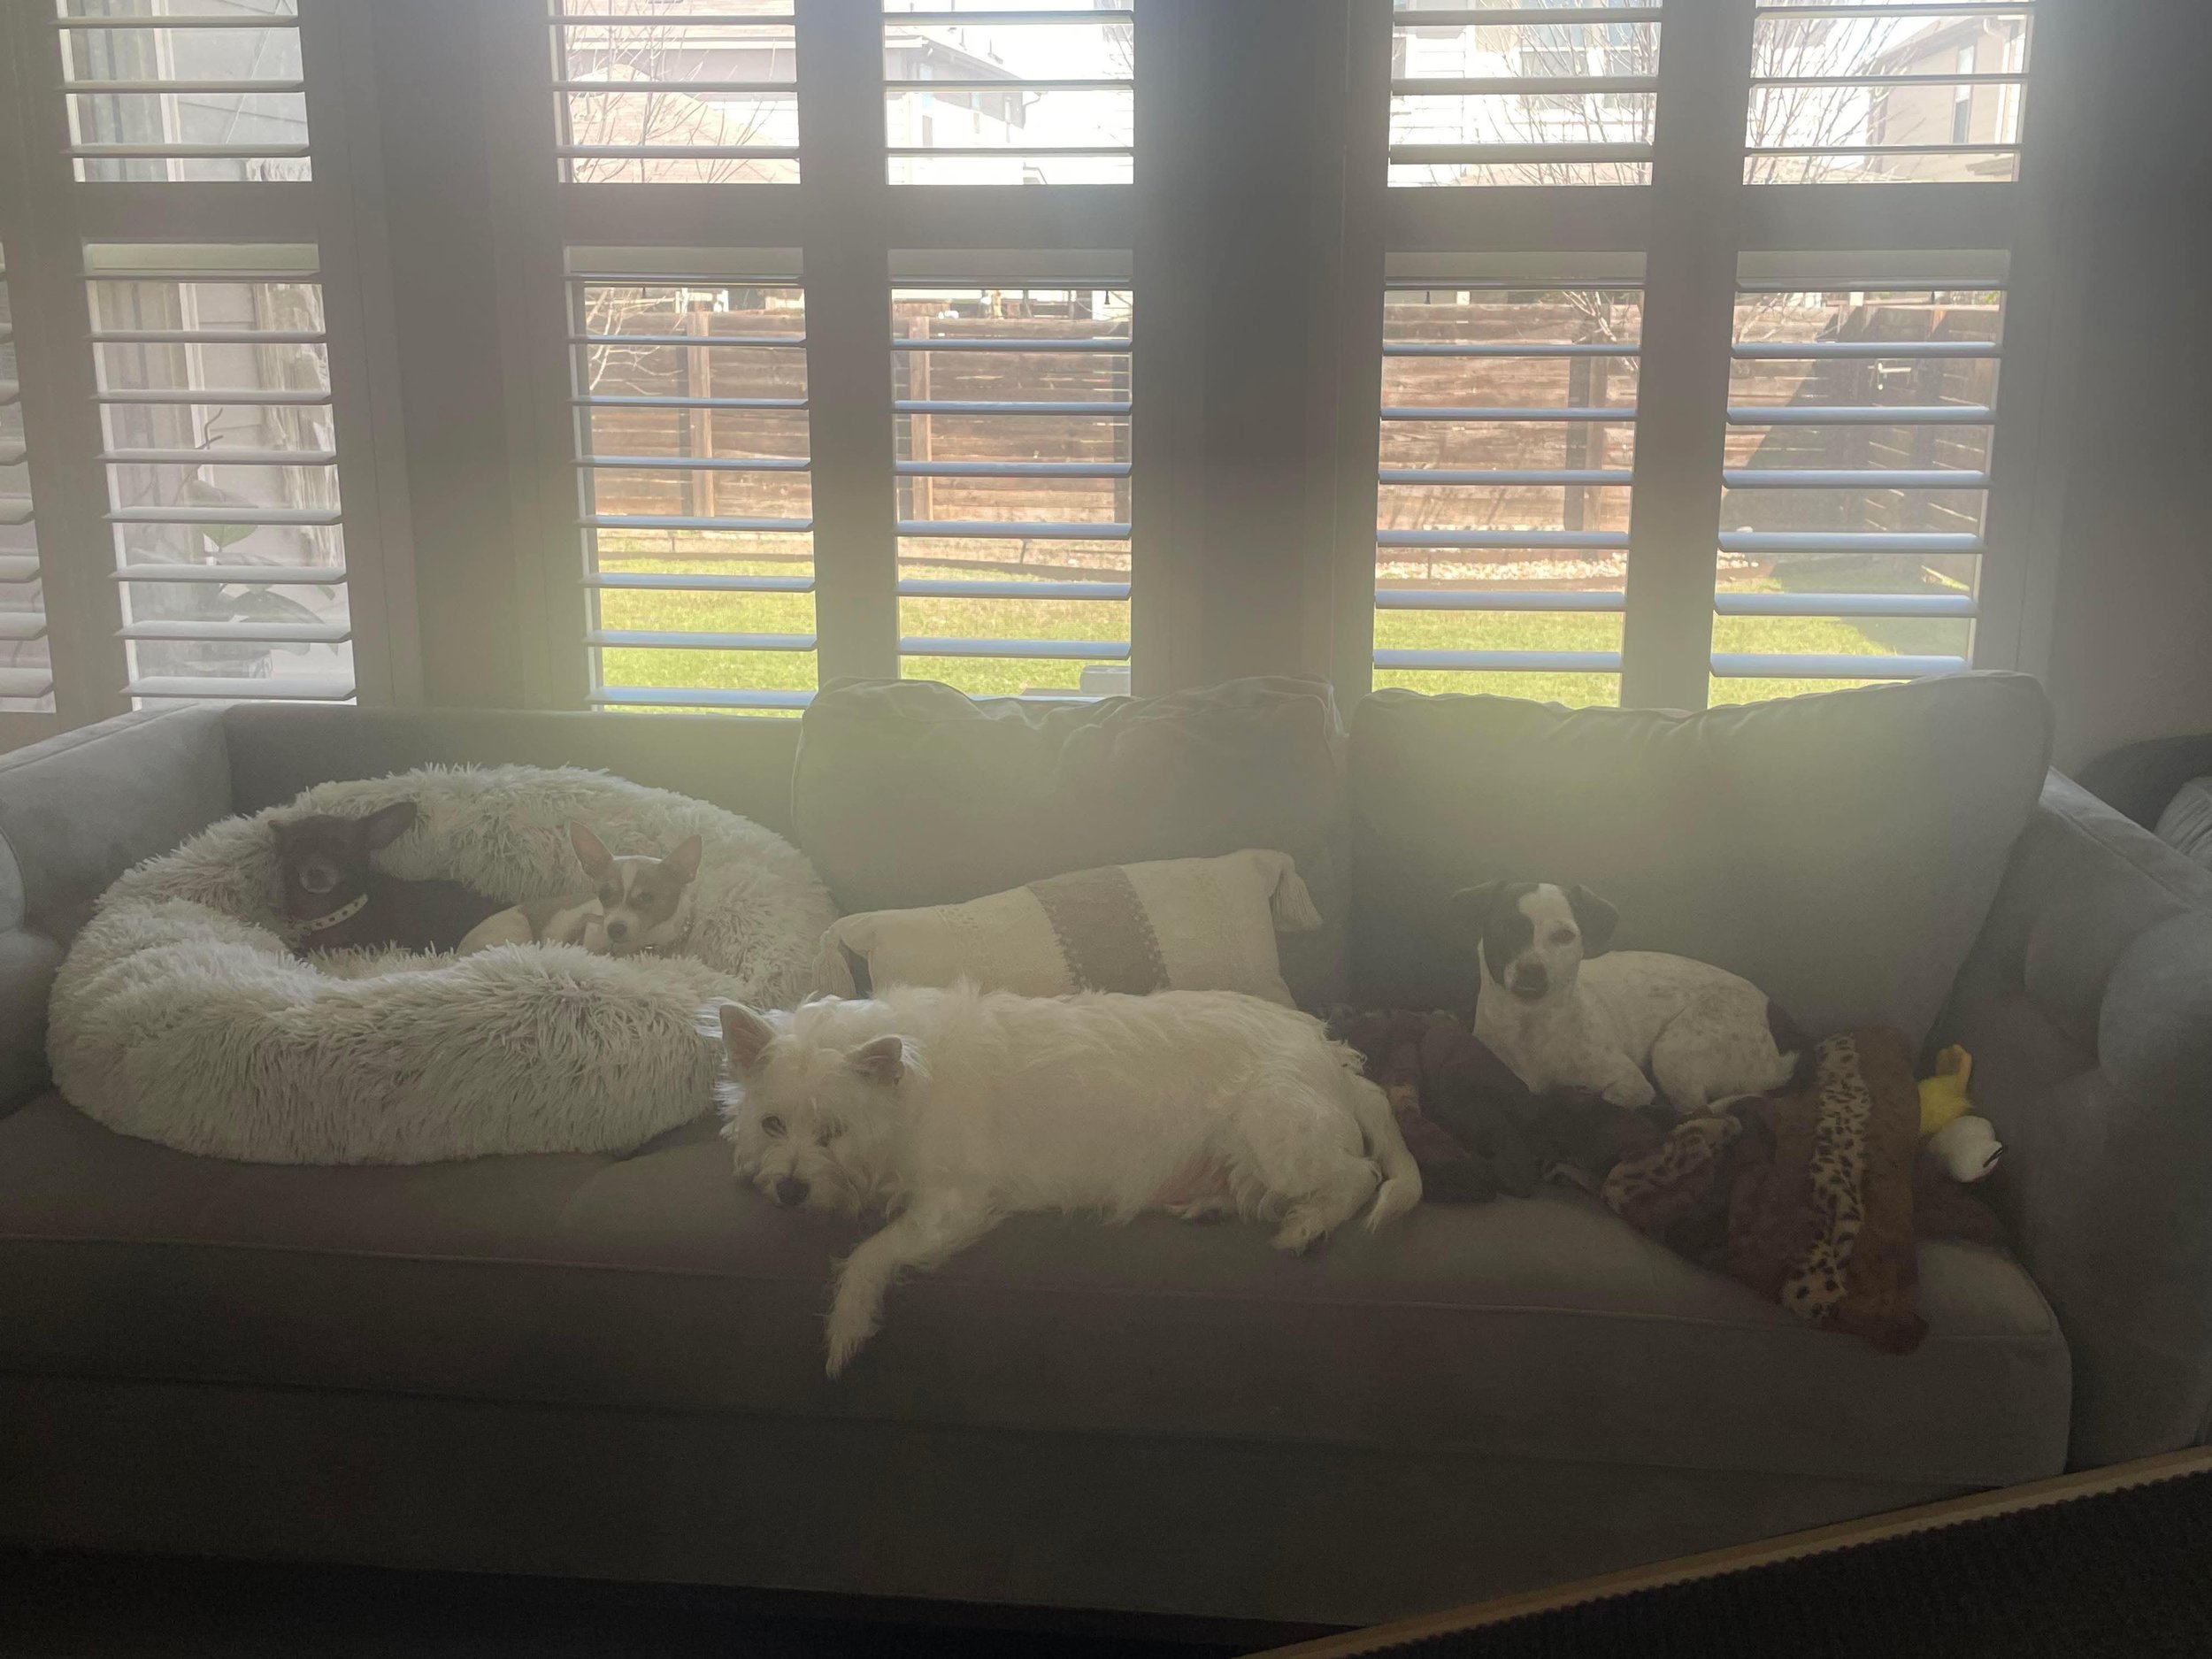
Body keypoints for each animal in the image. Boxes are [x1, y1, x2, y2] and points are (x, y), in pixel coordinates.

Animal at [717, 983, 1423, 1377]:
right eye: (772, 1123)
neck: (909, 1087)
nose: (789, 1191)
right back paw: (1206, 1204)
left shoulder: (956, 1202)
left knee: (1358, 1176)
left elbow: (869, 1254)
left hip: (1274, 1133)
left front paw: (845, 1329)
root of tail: (1334, 1062)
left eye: (832, 1131)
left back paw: (1307, 1225)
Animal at [1452, 881, 1801, 1116]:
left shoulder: (1632, 1083)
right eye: (1505, 929)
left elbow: (1607, 1097)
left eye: (1563, 936)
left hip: (1673, 1051)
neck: (1532, 1024)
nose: (1532, 971)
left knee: (1695, 1113)